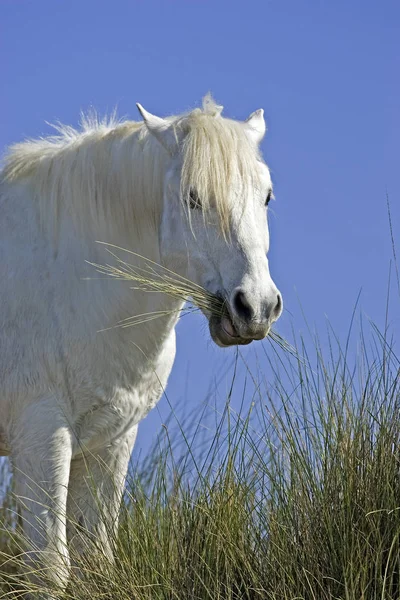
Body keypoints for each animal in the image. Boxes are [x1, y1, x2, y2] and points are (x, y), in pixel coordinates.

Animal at [0, 94, 282, 592]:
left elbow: (96, 561)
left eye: (266, 196)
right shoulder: (39, 437)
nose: (256, 307)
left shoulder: (109, 443)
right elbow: (49, 568)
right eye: (193, 198)